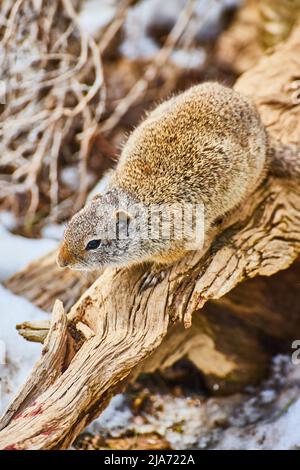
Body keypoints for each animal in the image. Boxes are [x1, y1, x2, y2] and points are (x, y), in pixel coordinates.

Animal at [57, 83, 284, 278]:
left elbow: (168, 260)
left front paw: (154, 272)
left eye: (93, 244)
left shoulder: (177, 242)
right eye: (69, 225)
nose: (61, 262)